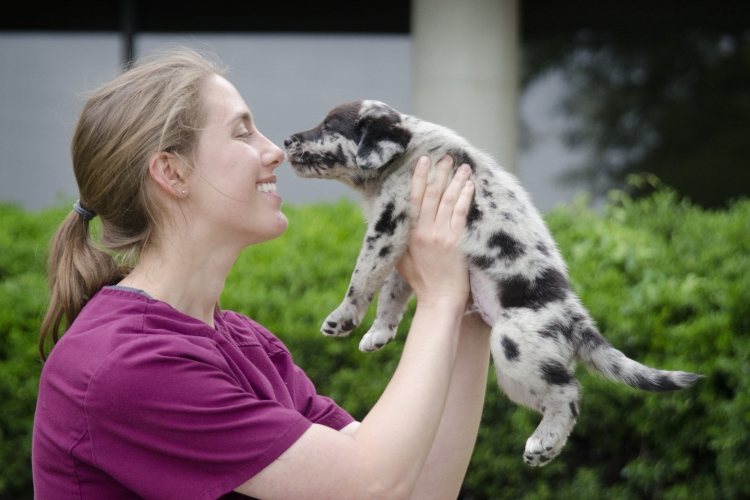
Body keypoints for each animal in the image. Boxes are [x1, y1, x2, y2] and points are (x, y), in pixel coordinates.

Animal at [284, 99, 704, 466]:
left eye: (329, 126)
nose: (287, 140)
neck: (406, 155)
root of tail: (575, 319)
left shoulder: (388, 225)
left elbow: (364, 277)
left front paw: (343, 318)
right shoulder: (404, 243)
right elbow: (392, 292)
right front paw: (379, 333)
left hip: (513, 348)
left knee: (569, 392)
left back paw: (542, 444)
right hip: (517, 371)